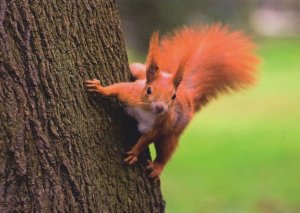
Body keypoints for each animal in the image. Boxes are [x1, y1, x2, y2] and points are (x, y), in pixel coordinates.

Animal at [84, 23, 258, 178]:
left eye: (173, 96)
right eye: (149, 90)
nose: (160, 107)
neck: (146, 111)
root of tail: (187, 94)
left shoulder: (159, 125)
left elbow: (146, 140)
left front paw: (134, 153)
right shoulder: (131, 94)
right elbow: (117, 88)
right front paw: (99, 88)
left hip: (172, 135)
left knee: (166, 151)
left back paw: (157, 167)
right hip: (141, 72)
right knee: (138, 69)